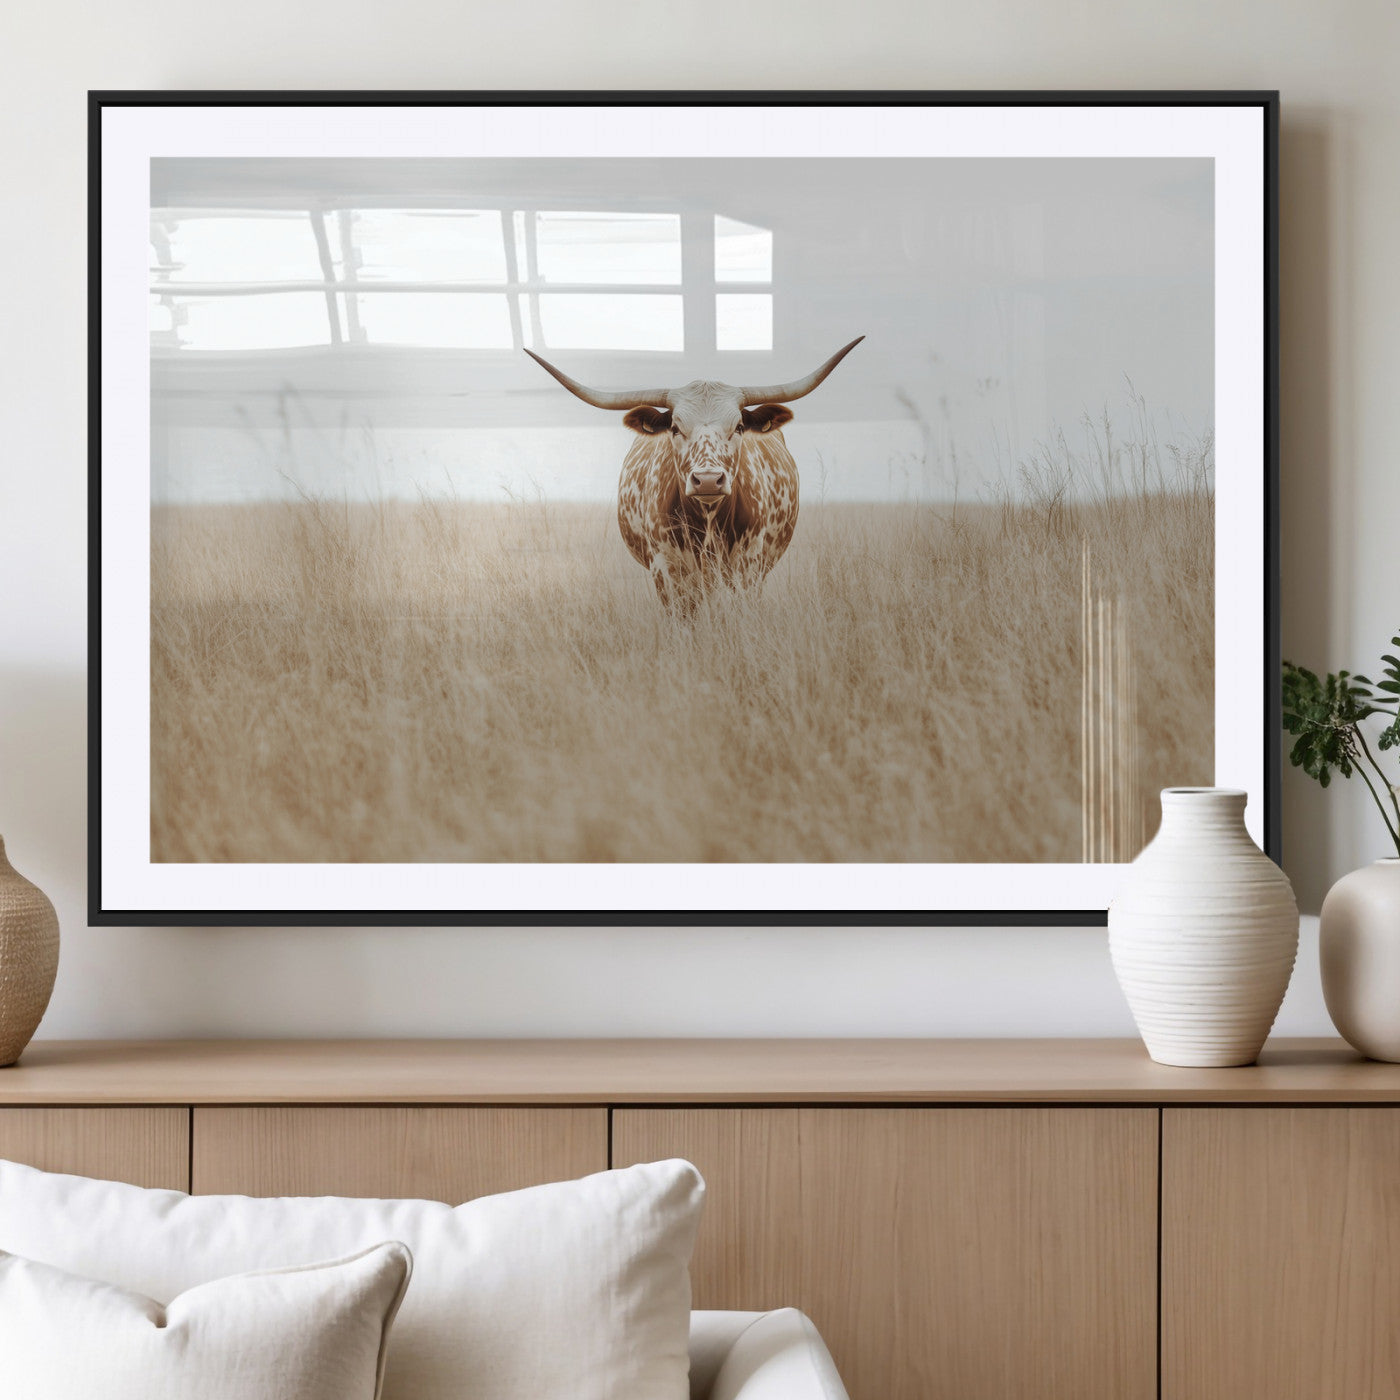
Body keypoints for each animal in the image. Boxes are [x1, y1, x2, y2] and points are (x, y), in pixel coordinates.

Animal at [524, 338, 864, 610]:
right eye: (675, 427)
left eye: (739, 426)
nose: (709, 480)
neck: (708, 523)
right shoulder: (666, 570)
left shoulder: (749, 566)